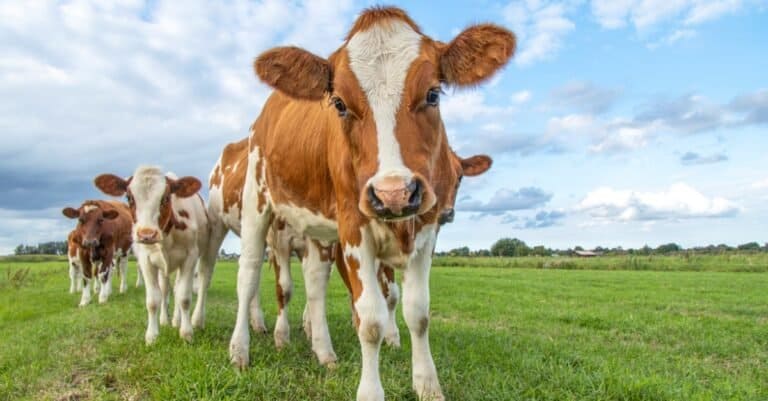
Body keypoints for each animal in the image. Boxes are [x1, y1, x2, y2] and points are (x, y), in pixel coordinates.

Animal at [94, 167, 210, 344]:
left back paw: (176, 320)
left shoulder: (190, 258)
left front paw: (186, 333)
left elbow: (183, 297)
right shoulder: (146, 261)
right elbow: (153, 300)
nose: (146, 234)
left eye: (166, 197)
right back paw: (165, 319)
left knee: (176, 289)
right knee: (165, 289)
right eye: (129, 197)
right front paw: (152, 335)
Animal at [229, 7, 514, 401]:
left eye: (433, 94)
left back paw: (324, 351)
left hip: (317, 228)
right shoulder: (353, 227)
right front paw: (371, 389)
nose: (394, 193)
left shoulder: (426, 229)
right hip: (257, 203)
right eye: (339, 104)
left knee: (315, 283)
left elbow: (417, 311)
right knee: (249, 274)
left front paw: (427, 384)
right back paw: (240, 349)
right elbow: (371, 319)